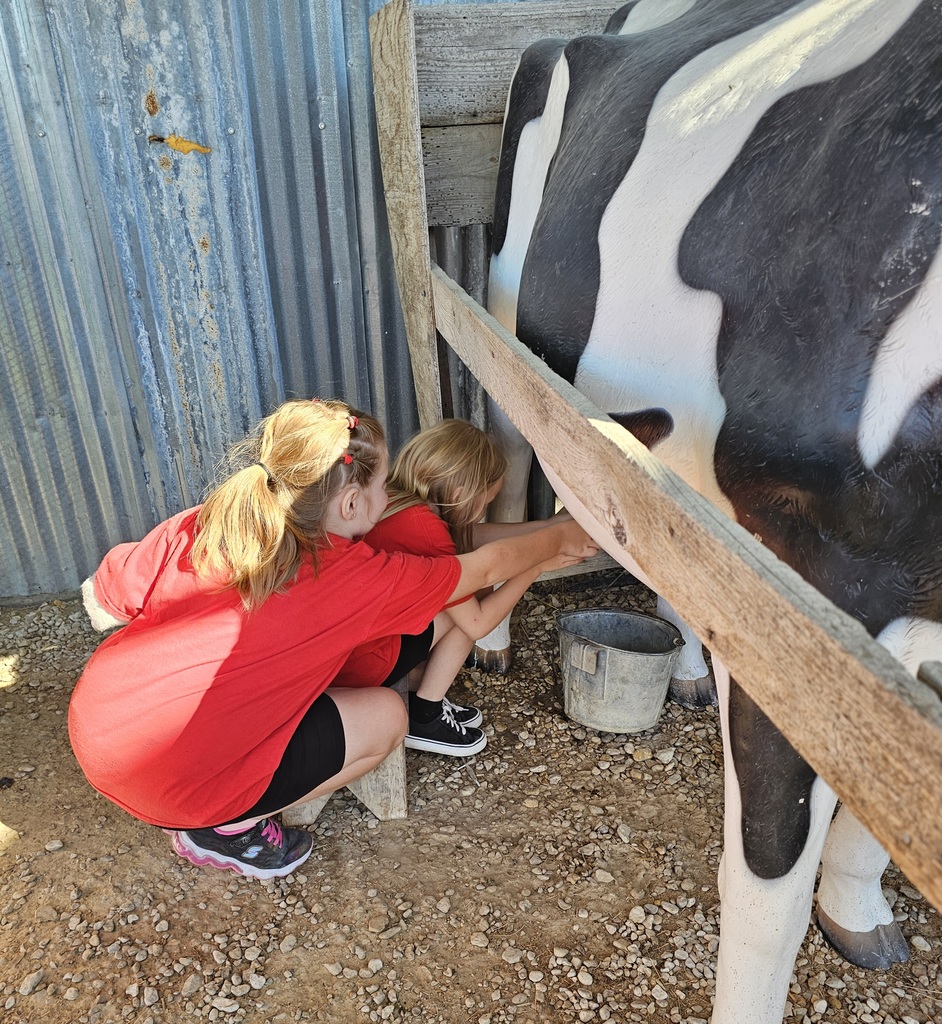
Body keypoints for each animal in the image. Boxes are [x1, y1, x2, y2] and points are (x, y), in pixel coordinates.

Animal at [479, 1, 942, 1022]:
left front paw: (860, 913)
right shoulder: (800, 597)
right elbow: (766, 887)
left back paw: (688, 669)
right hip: (501, 318)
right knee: (502, 446)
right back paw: (489, 646)